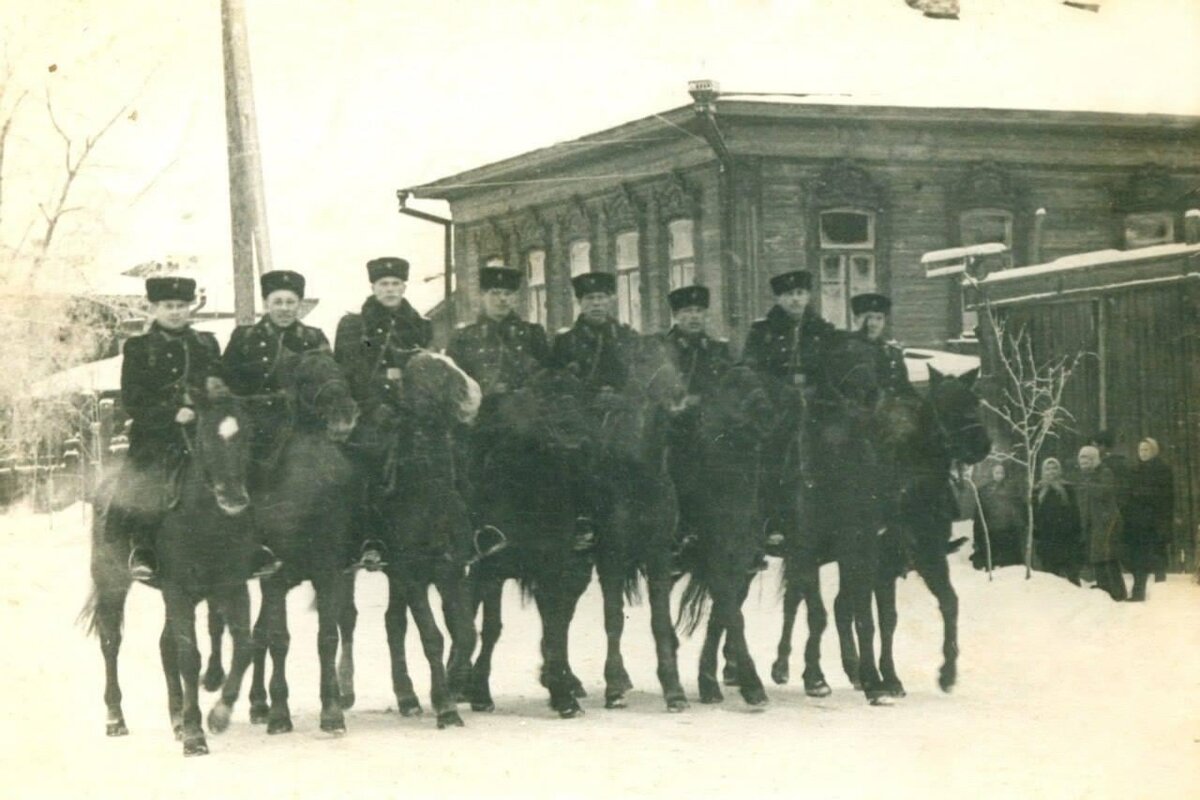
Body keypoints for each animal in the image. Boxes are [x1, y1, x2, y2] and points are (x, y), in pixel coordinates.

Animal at [84, 391, 260, 762]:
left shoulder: (232, 588)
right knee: (111, 643)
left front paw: (218, 715)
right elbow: (189, 658)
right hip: (112, 583)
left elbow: (245, 647)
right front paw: (195, 736)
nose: (234, 498)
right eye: (204, 439)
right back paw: (115, 719)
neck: (205, 518)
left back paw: (177, 719)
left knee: (165, 646)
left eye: (248, 436)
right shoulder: (178, 591)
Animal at [676, 364, 777, 705]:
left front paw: (710, 682)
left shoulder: (739, 559)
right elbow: (731, 612)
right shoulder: (716, 557)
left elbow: (723, 613)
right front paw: (752, 685)